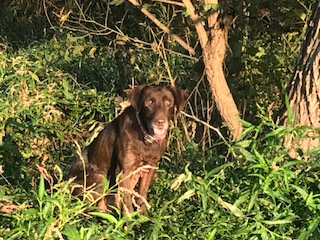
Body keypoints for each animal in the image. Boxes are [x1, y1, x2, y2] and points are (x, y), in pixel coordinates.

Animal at [70, 85, 188, 216]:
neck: (145, 138)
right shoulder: (124, 172)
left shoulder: (150, 167)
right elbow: (126, 202)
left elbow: (142, 195)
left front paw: (143, 218)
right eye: (150, 102)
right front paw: (128, 220)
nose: (160, 122)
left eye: (168, 102)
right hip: (99, 177)